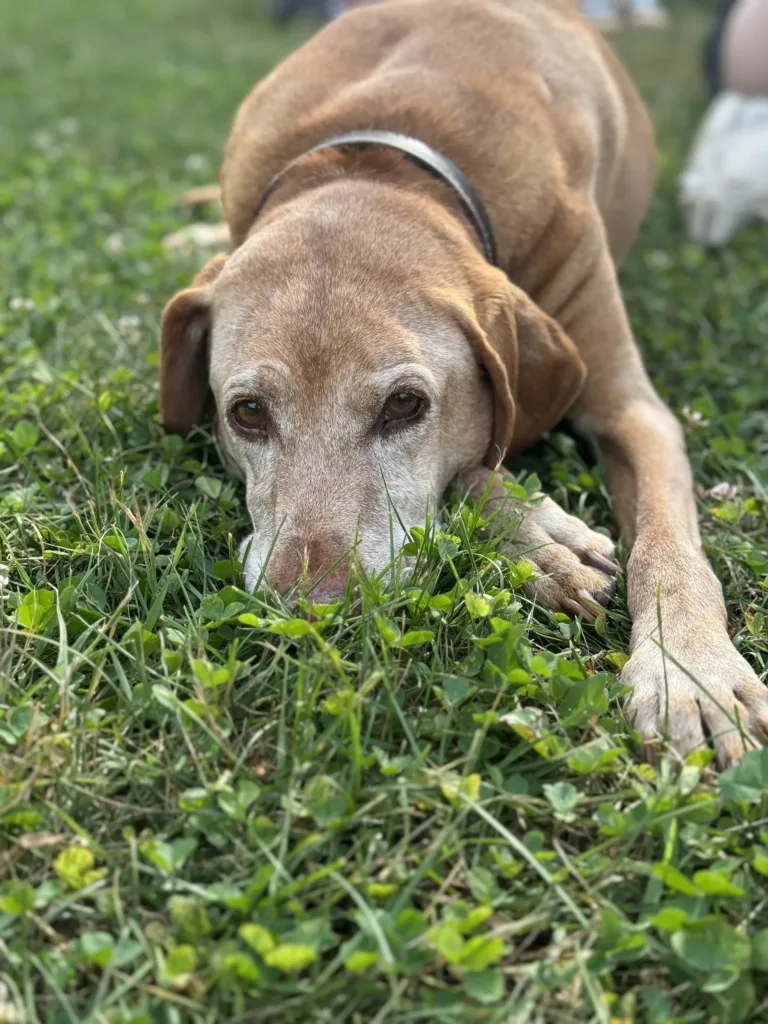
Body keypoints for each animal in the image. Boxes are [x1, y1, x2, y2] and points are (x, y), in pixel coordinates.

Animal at [159, 0, 765, 770]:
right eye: (247, 413)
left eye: (405, 405)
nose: (311, 612)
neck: (387, 157)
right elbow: (474, 463)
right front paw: (542, 539)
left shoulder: (631, 406)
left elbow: (668, 545)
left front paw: (691, 672)